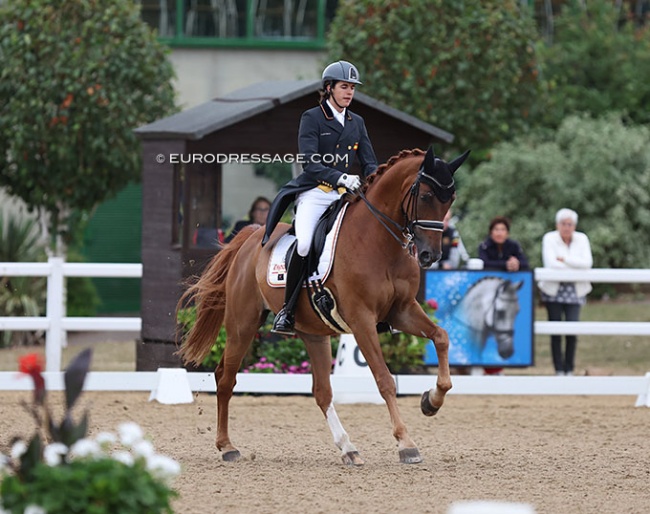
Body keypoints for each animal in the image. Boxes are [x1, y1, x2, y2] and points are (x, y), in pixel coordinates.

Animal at [177, 147, 468, 464]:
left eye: (450, 199)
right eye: (426, 196)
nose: (431, 255)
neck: (378, 242)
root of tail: (252, 236)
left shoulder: (402, 310)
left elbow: (441, 337)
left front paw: (431, 401)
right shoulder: (361, 320)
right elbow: (384, 379)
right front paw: (406, 443)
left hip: (312, 332)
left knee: (321, 392)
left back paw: (348, 448)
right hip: (243, 323)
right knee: (226, 378)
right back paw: (227, 446)